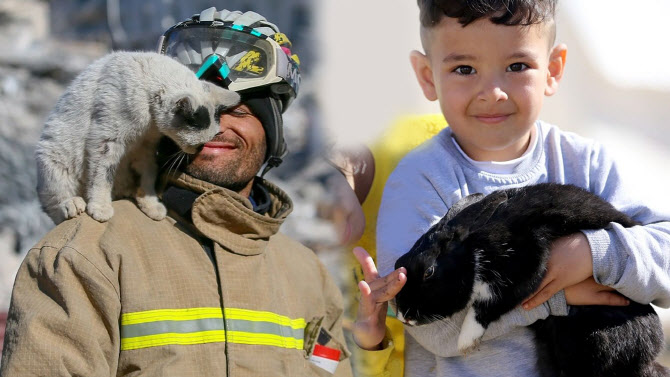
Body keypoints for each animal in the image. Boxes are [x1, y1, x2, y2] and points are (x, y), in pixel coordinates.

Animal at [36, 50, 242, 223]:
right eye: (199, 144)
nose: (198, 151)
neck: (149, 122)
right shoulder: (105, 140)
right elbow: (102, 176)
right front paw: (100, 207)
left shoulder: (146, 148)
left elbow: (148, 176)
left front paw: (150, 203)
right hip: (53, 158)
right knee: (54, 204)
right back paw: (71, 204)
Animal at [396, 181, 668, 374]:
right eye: (399, 263)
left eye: (429, 271)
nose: (404, 316)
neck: (473, 248)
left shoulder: (526, 264)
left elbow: (487, 305)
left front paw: (466, 342)